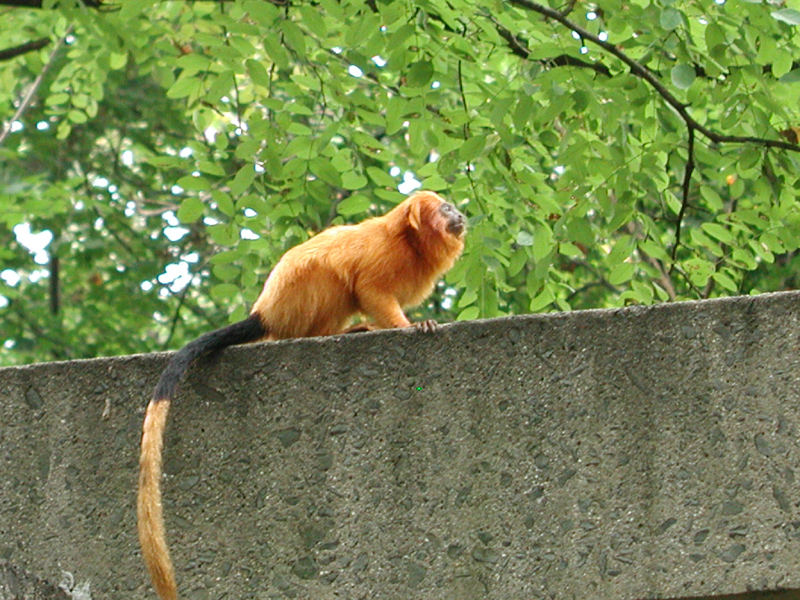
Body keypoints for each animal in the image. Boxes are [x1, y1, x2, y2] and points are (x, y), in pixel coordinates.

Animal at [136, 190, 462, 596]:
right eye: (446, 209)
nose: (460, 214)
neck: (409, 242)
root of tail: (265, 312)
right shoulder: (380, 256)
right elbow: (369, 290)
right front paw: (411, 325)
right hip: (300, 299)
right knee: (330, 279)